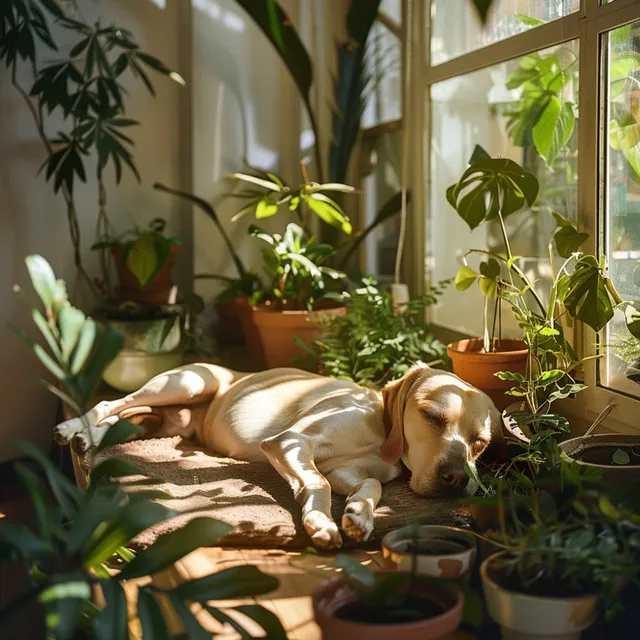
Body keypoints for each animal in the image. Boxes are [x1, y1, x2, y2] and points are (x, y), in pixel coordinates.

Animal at [53, 364, 500, 552]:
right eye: (432, 416)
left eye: (479, 443)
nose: (457, 479)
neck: (379, 426)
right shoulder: (290, 442)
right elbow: (316, 483)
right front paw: (320, 522)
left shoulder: (346, 470)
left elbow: (370, 485)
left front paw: (358, 515)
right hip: (185, 383)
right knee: (112, 402)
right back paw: (74, 427)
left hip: (166, 418)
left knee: (123, 418)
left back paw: (86, 437)